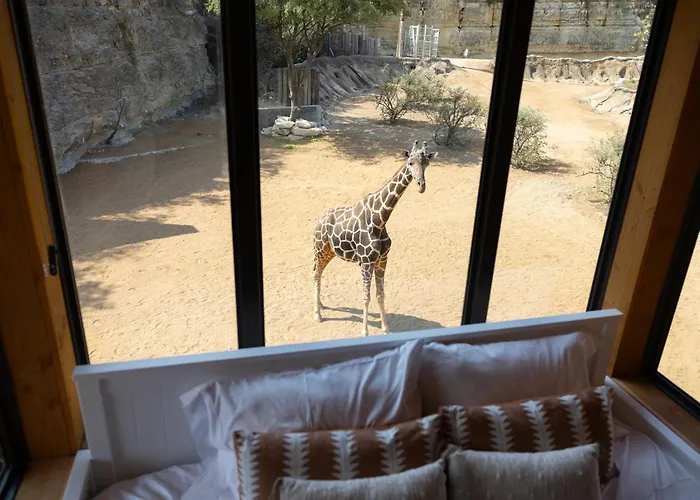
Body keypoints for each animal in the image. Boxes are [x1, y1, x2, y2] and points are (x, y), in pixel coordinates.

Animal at [312, 140, 438, 336]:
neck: (380, 218)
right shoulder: (366, 261)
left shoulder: (382, 260)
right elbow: (366, 296)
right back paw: (317, 315)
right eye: (410, 162)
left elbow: (380, 294)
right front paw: (364, 332)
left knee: (319, 273)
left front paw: (386, 329)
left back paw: (322, 305)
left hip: (329, 253)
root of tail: (318, 220)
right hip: (320, 250)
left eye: (426, 163)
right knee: (315, 274)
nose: (421, 186)